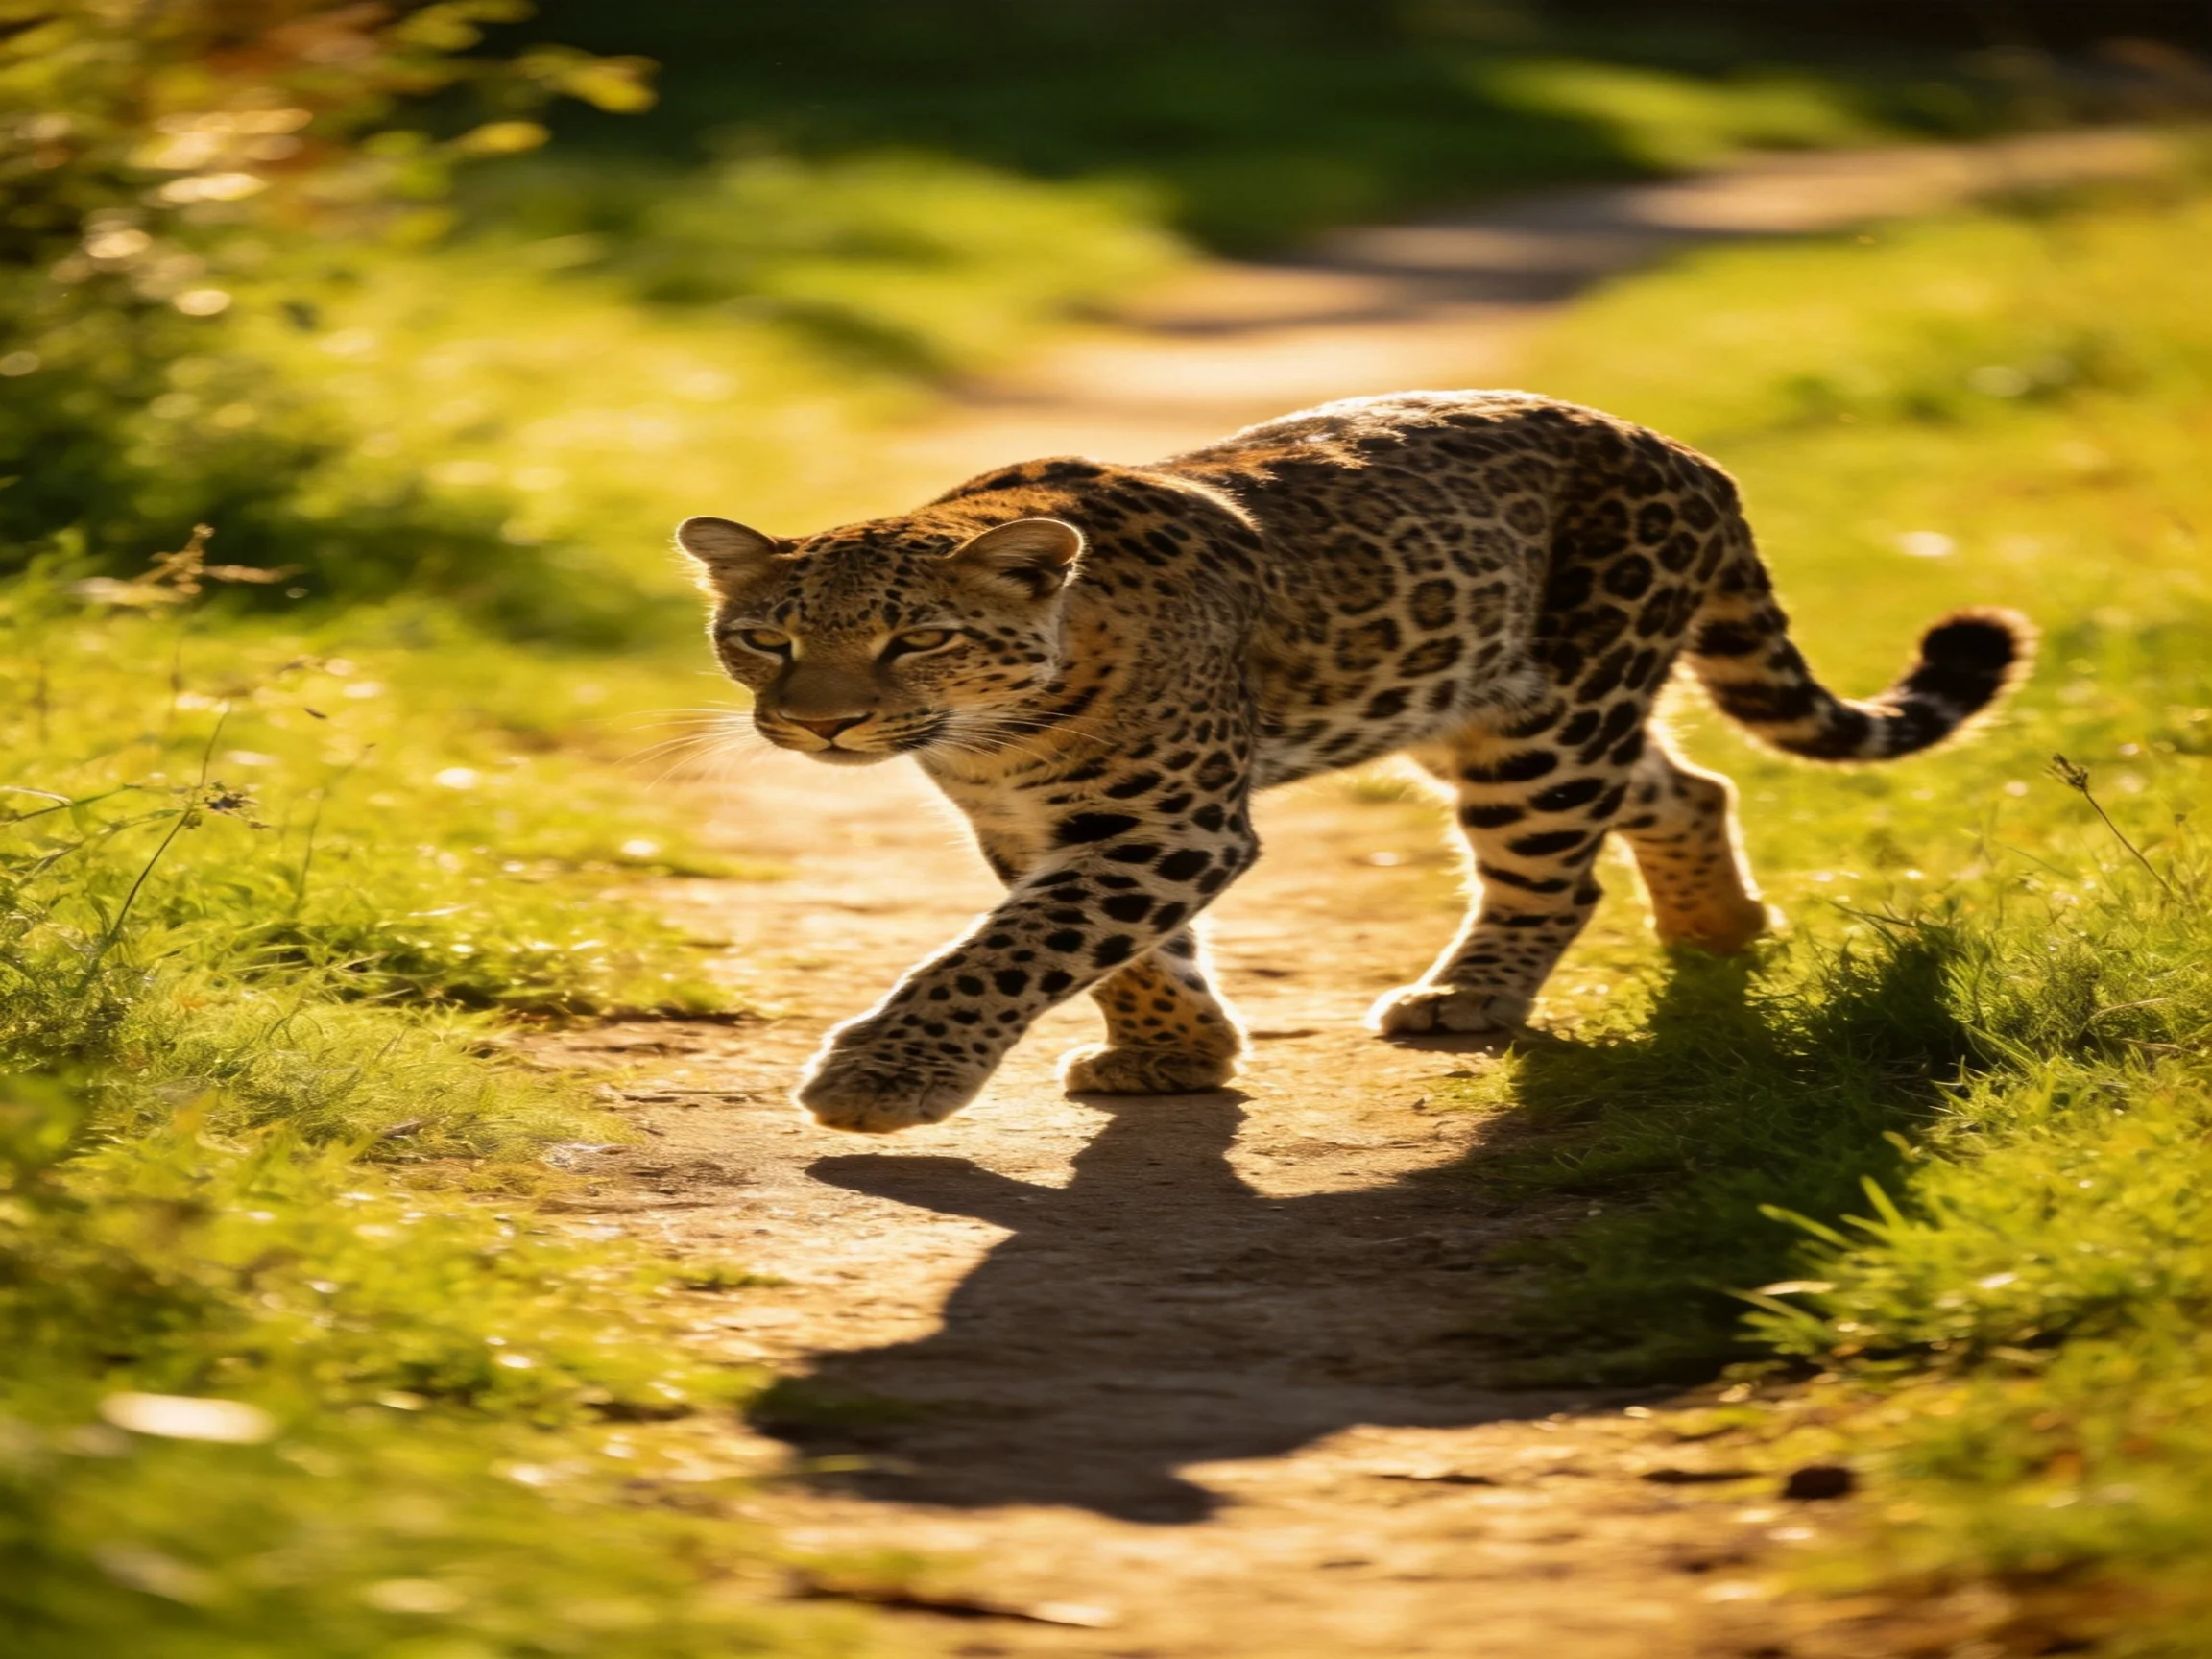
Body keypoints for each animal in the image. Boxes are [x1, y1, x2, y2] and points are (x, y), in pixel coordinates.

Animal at [676, 390, 2033, 1134]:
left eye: (917, 639)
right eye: (766, 640)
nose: (821, 725)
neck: (1004, 730)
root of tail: (1682, 452)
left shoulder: (1166, 824)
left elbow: (1015, 950)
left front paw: (884, 1077)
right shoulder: (1038, 826)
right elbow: (1121, 950)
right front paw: (1175, 1054)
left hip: (1546, 728)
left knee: (1555, 870)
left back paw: (1467, 998)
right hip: (1477, 708)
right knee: (1684, 784)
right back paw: (1720, 931)